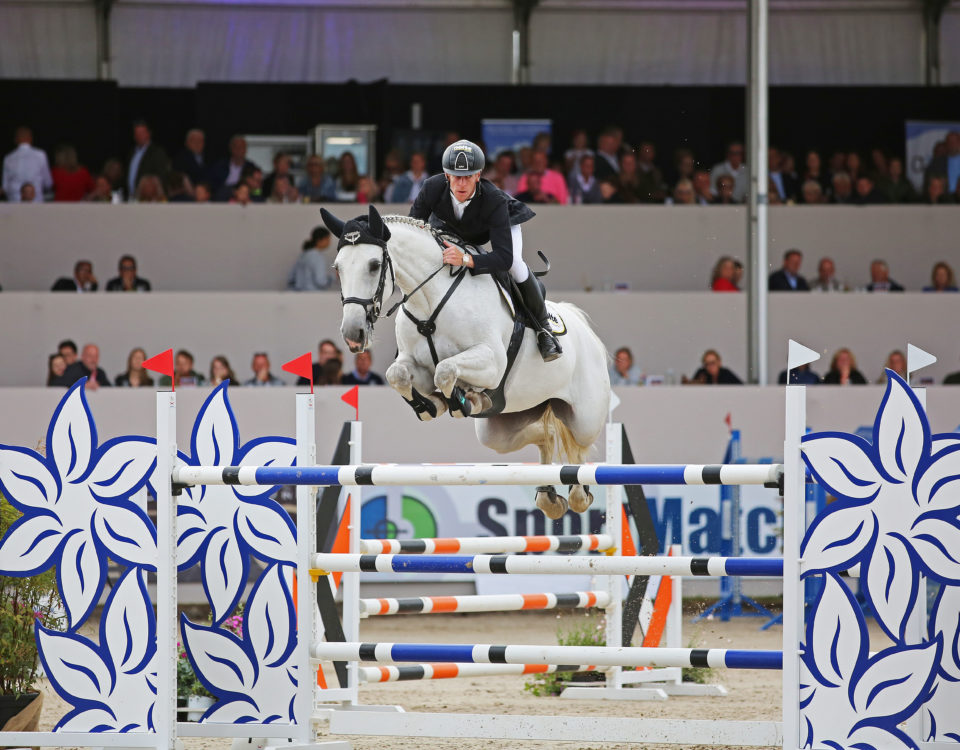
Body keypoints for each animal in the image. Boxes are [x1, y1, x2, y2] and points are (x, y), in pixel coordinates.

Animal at [320, 206, 608, 524]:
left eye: (373, 265)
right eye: (337, 268)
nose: (353, 334)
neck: (430, 299)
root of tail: (583, 327)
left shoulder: (492, 361)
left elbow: (446, 370)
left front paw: (459, 400)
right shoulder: (413, 363)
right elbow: (398, 375)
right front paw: (432, 405)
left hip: (584, 418)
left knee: (579, 450)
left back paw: (579, 494)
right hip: (501, 429)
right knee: (546, 436)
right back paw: (548, 496)